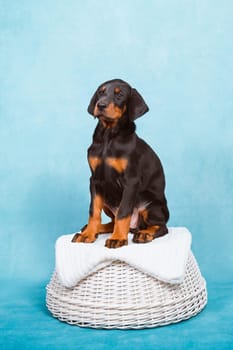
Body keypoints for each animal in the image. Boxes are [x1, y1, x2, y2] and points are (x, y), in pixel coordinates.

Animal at [71, 79, 169, 249]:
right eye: (101, 92)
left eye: (120, 95)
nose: (101, 105)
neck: (108, 137)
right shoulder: (95, 180)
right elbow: (93, 211)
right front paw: (88, 234)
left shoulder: (131, 180)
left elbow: (123, 212)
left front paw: (117, 239)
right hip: (105, 199)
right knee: (112, 221)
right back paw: (95, 229)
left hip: (151, 204)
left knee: (161, 226)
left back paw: (144, 234)